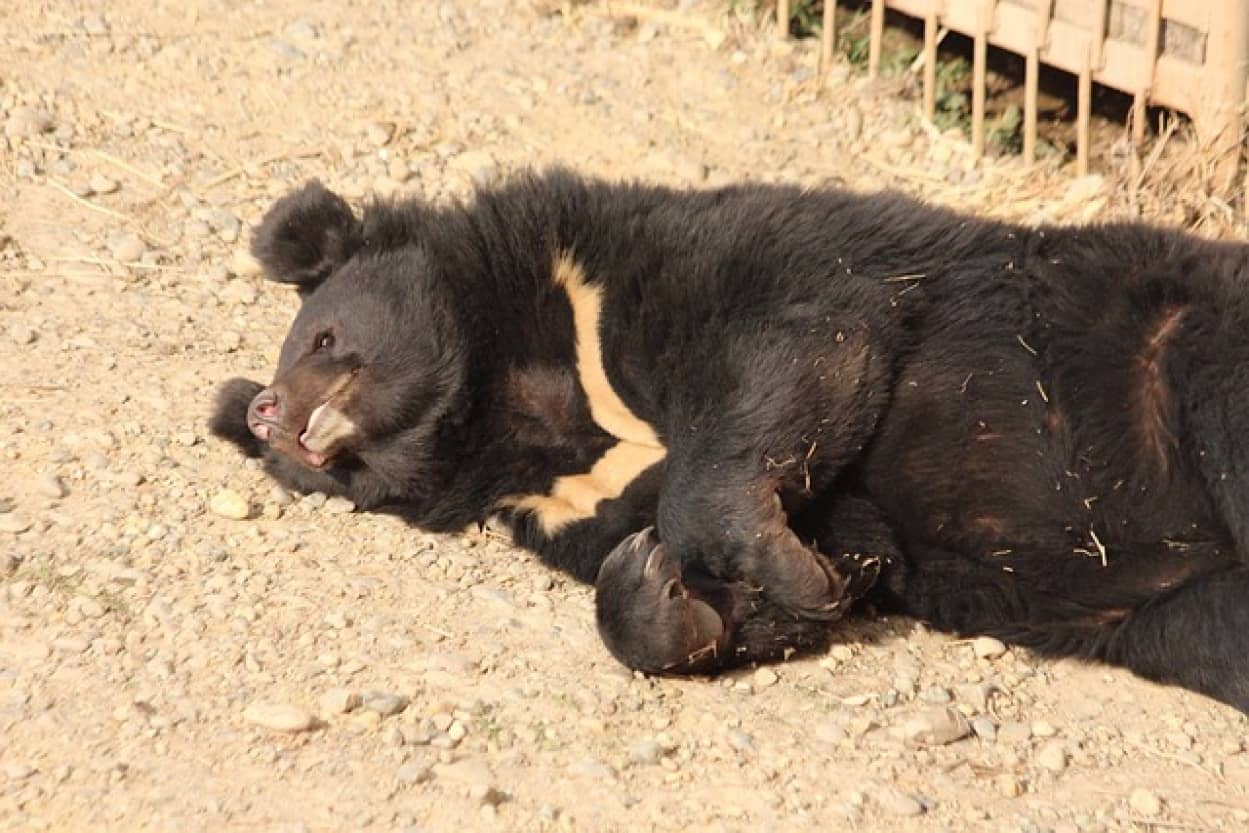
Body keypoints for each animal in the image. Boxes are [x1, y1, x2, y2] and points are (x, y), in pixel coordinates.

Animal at [209, 167, 1249, 709]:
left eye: (320, 338)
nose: (268, 413)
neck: (520, 398)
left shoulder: (675, 262)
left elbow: (802, 336)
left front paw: (772, 561)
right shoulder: (575, 492)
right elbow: (842, 552)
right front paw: (673, 586)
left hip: (1177, 342)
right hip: (1180, 613)